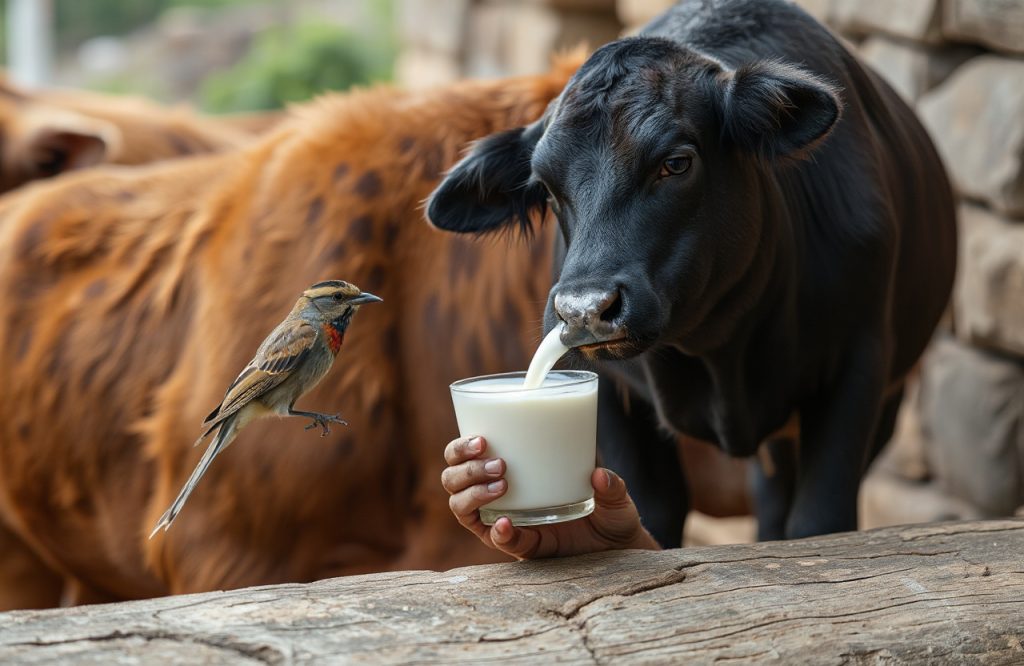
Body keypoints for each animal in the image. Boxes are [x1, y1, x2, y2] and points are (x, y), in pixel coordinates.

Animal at [428, 0, 957, 542]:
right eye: (547, 187)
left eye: (676, 163)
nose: (584, 311)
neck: (723, 350)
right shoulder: (613, 392)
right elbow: (654, 510)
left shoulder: (860, 365)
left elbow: (820, 520)